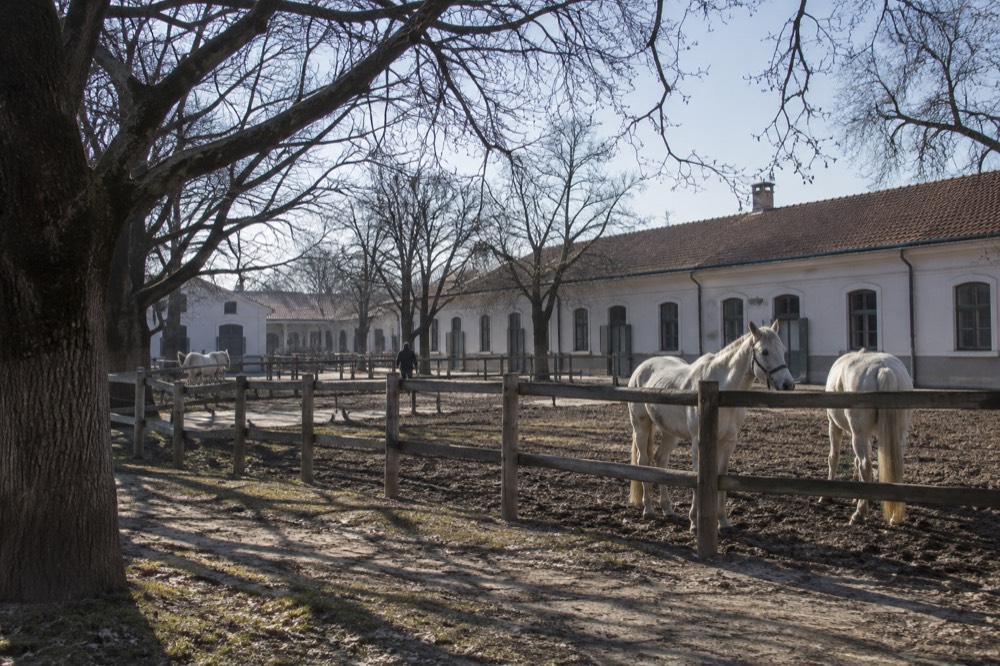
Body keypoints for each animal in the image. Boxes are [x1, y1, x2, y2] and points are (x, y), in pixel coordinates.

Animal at [627, 320, 796, 531]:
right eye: (764, 352)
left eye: (783, 350)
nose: (788, 384)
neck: (721, 391)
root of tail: (640, 368)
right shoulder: (698, 440)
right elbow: (696, 474)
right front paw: (694, 521)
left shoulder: (728, 441)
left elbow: (722, 476)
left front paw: (723, 521)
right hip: (641, 426)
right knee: (644, 462)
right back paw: (648, 509)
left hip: (670, 433)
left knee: (660, 460)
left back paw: (668, 510)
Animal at [824, 349, 913, 526]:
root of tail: (884, 369)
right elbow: (856, 462)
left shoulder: (834, 425)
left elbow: (834, 458)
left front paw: (826, 496)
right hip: (898, 433)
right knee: (896, 465)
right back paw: (894, 516)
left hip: (858, 434)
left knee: (866, 466)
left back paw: (859, 514)